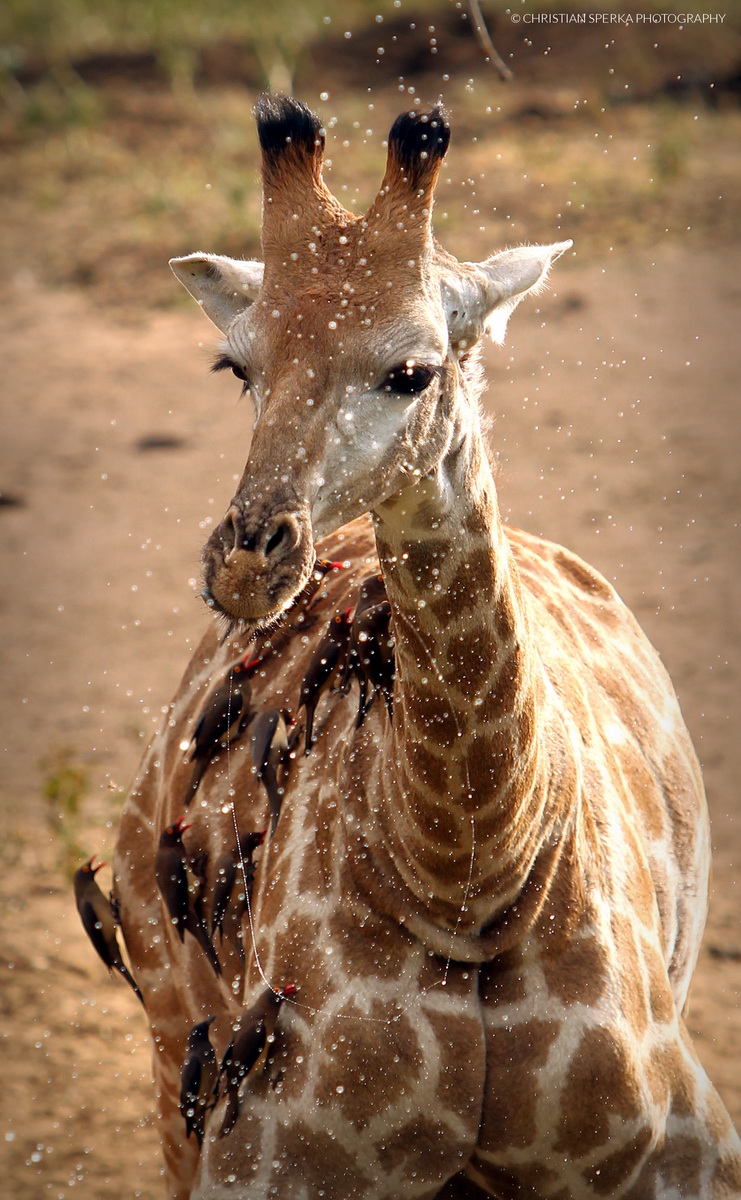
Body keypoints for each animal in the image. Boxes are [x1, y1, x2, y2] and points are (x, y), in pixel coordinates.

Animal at [111, 95, 741, 1199]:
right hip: (167, 1046)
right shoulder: (262, 1153)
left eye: (412, 371)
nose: (248, 562)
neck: (470, 875)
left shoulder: (681, 1150)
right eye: (239, 368)